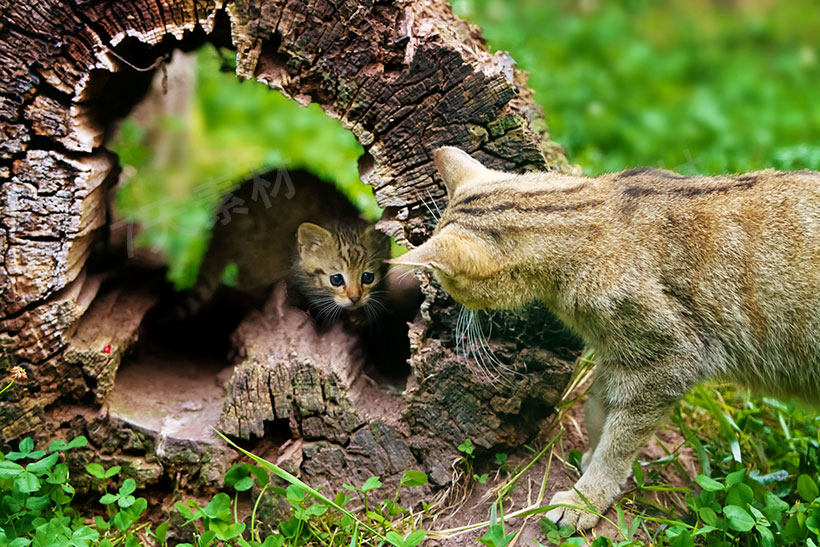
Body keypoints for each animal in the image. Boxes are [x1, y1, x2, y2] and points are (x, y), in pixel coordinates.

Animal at [390, 147, 820, 532]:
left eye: (445, 279)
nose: (445, 299)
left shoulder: (666, 362)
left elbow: (619, 441)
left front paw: (586, 498)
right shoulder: (618, 354)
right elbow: (598, 407)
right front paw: (590, 460)